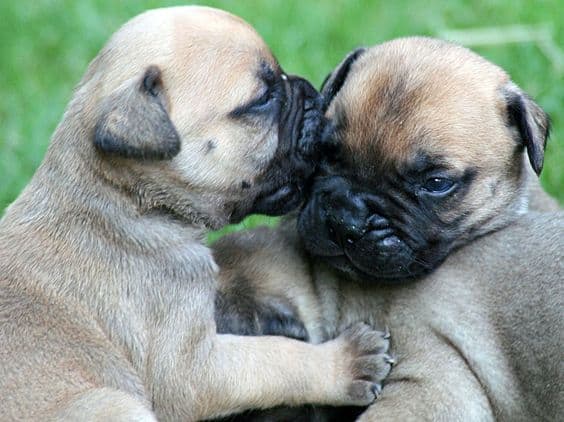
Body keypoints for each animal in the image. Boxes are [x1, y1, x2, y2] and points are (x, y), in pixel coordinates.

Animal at [0, 7, 392, 422]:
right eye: (262, 99)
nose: (312, 92)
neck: (125, 198)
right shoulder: (195, 369)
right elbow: (272, 358)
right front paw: (344, 363)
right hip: (114, 405)